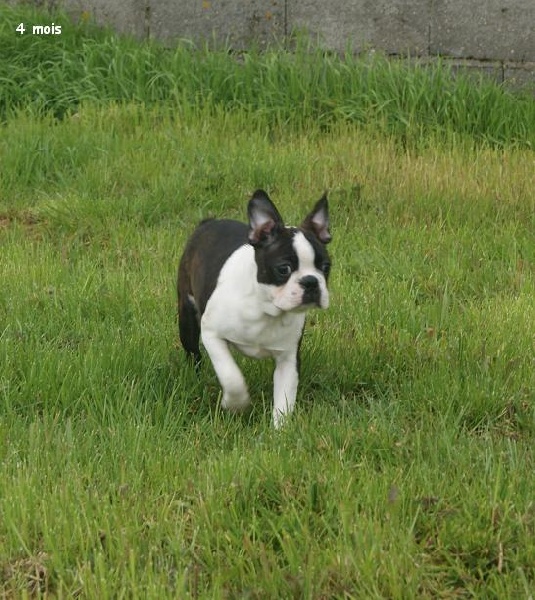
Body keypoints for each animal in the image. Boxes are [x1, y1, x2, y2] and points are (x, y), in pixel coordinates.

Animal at [177, 189, 331, 427]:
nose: (311, 282)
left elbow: (285, 397)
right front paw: (235, 404)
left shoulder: (288, 357)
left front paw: (280, 430)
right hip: (187, 317)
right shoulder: (212, 334)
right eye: (284, 269)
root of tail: (208, 222)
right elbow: (231, 376)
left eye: (326, 267)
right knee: (193, 353)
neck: (265, 309)